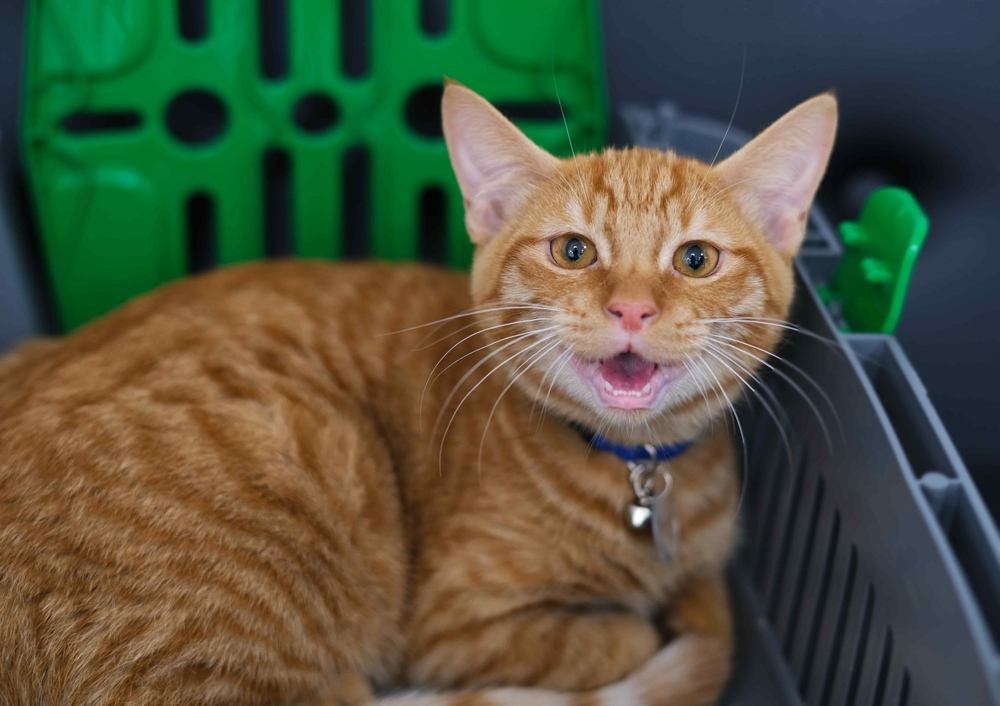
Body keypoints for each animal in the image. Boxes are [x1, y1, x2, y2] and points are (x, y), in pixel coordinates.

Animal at [0, 84, 836, 704]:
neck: (640, 471)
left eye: (695, 259)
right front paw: (658, 624)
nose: (632, 309)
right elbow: (628, 635)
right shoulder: (455, 627)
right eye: (573, 251)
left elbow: (709, 601)